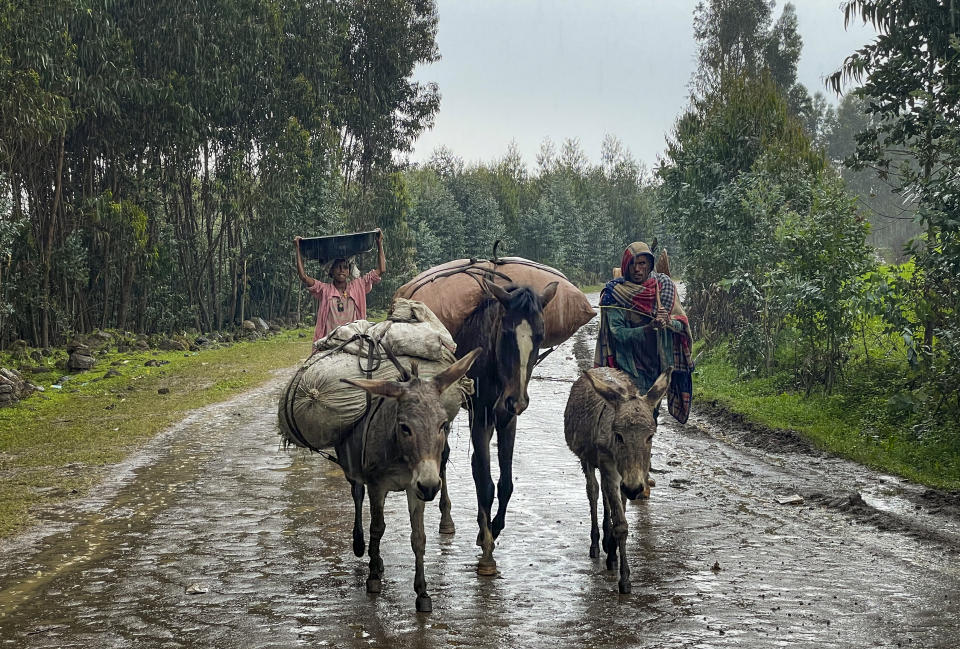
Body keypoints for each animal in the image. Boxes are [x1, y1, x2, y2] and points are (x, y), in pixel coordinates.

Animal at [338, 346, 480, 612]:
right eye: (405, 427)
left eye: (443, 425)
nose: (431, 486)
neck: (400, 455)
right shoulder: (377, 486)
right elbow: (377, 528)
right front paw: (373, 579)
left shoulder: (416, 488)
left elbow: (418, 537)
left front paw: (422, 592)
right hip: (353, 470)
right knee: (357, 495)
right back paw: (361, 545)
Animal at [456, 280, 560, 576]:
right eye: (506, 333)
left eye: (540, 336)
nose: (517, 400)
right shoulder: (480, 415)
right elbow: (486, 484)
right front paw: (487, 553)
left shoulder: (506, 419)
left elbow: (505, 484)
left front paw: (492, 529)